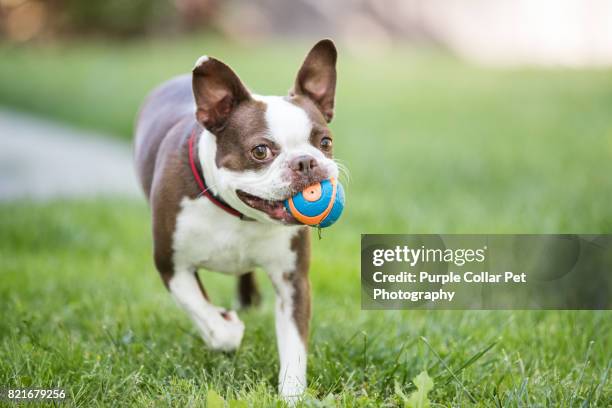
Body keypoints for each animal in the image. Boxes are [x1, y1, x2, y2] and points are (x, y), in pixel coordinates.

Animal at [134, 39, 340, 400]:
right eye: (260, 151)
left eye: (325, 142)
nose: (306, 162)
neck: (238, 213)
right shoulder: (172, 265)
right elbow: (211, 321)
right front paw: (226, 323)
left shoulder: (293, 281)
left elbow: (294, 346)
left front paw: (292, 396)